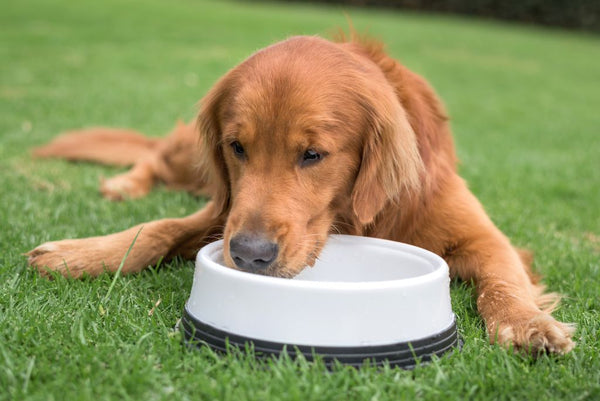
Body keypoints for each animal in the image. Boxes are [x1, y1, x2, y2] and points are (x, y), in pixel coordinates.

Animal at [29, 35, 576, 354]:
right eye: (237, 147)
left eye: (313, 154)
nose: (250, 255)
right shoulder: (225, 211)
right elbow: (158, 228)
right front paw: (82, 253)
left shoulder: (481, 234)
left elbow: (502, 277)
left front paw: (526, 322)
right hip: (193, 161)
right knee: (155, 155)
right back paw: (124, 183)